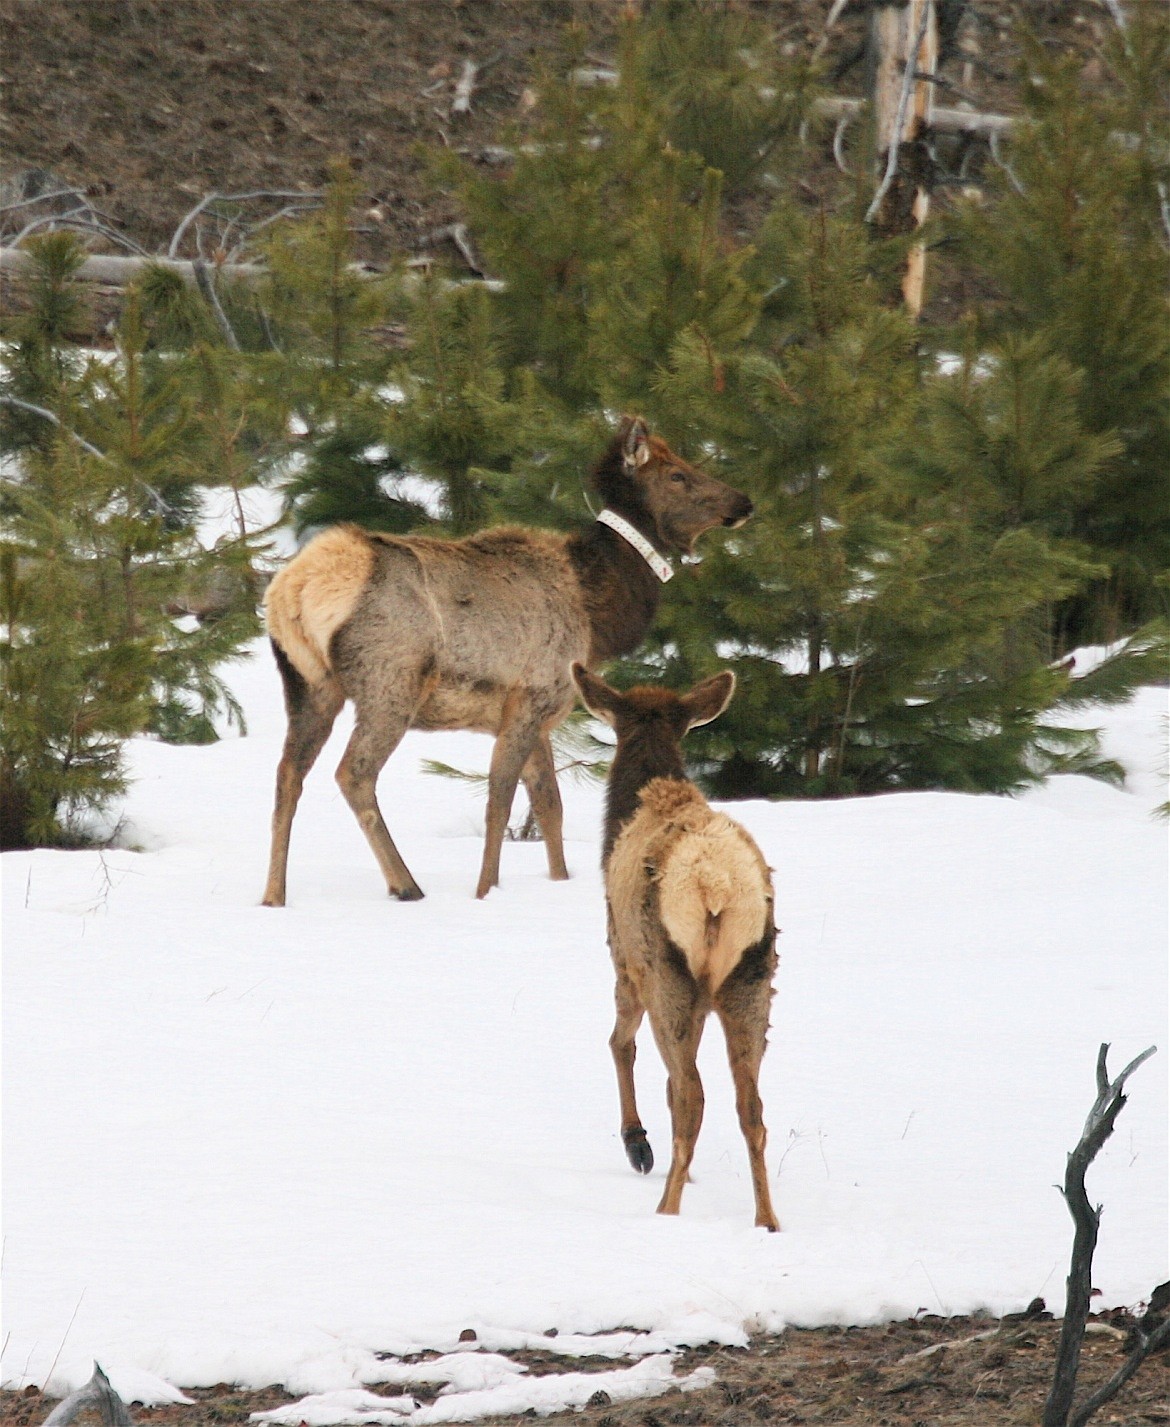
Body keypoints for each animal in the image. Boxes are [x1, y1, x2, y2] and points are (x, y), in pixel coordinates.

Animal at [258, 413, 747, 901]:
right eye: (678, 474)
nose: (744, 502)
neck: (597, 617)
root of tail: (297, 586)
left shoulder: (541, 710)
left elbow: (550, 804)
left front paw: (559, 879)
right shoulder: (533, 694)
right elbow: (501, 800)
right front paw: (485, 889)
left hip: (308, 684)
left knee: (287, 773)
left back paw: (274, 895)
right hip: (390, 682)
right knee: (353, 773)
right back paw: (406, 884)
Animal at [573, 662, 781, 1232]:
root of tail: (714, 885)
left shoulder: (622, 953)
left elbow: (619, 1043)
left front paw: (638, 1145)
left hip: (665, 968)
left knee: (690, 1094)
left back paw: (666, 1209)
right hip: (751, 978)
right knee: (751, 1109)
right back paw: (766, 1220)